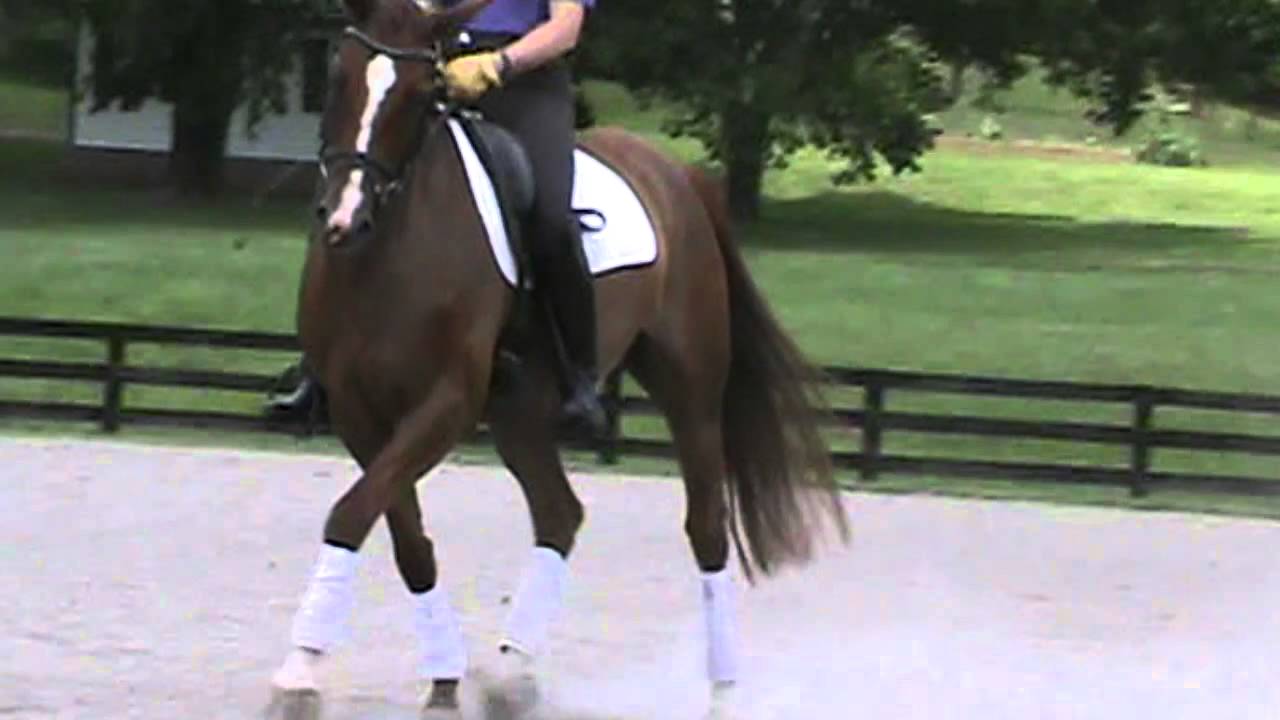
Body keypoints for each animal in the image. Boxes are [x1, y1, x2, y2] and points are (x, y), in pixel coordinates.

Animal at [265, 0, 850, 717]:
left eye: (417, 93)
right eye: (336, 78)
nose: (344, 218)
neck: (386, 255)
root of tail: (675, 174)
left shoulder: (447, 402)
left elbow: (350, 514)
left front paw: (298, 674)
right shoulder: (358, 409)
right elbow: (405, 540)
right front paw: (442, 681)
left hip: (689, 390)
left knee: (706, 528)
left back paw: (722, 691)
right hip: (519, 412)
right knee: (558, 515)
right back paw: (512, 674)